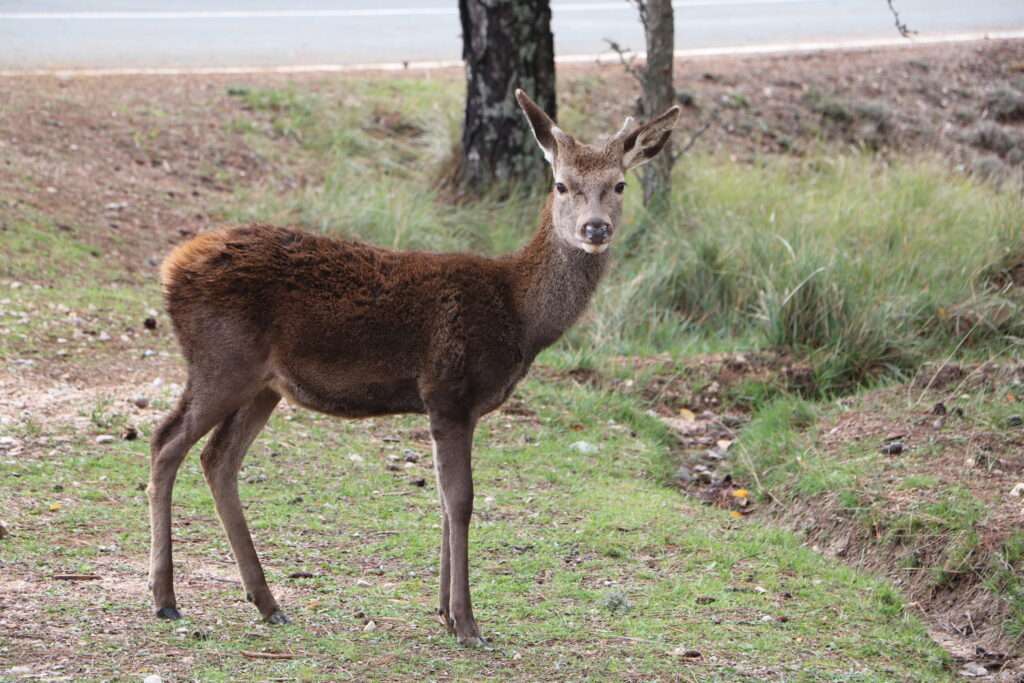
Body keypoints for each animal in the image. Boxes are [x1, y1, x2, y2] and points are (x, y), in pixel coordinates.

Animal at [149, 89, 679, 647]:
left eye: (619, 184)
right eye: (562, 184)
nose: (595, 228)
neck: (520, 314)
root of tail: (170, 268)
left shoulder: (456, 406)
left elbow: (445, 502)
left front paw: (444, 612)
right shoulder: (448, 390)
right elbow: (462, 501)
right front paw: (468, 623)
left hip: (263, 385)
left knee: (218, 458)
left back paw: (266, 602)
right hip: (221, 361)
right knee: (166, 441)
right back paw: (165, 597)